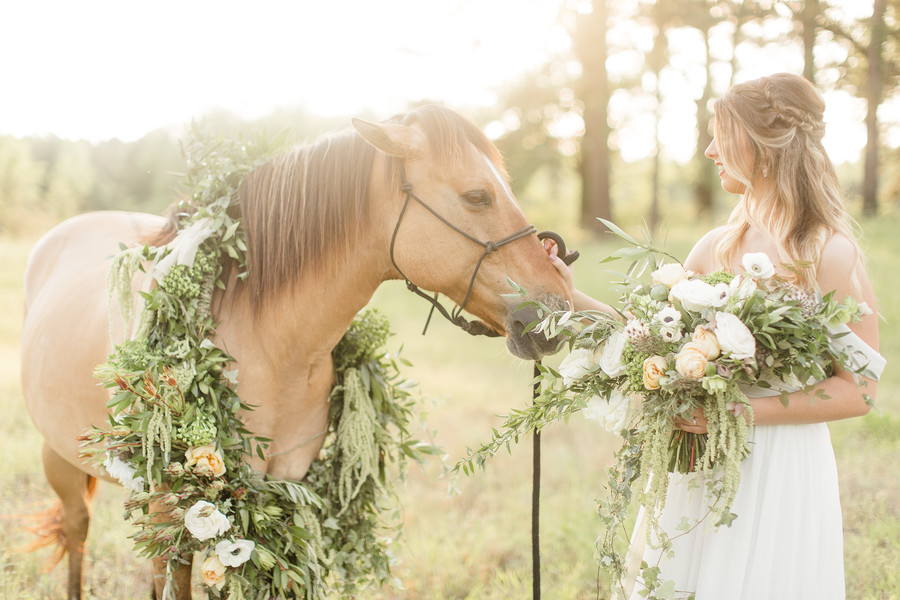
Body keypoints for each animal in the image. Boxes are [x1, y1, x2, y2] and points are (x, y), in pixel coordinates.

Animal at [21, 105, 572, 596]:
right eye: (477, 196)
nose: (557, 310)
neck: (271, 345)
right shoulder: (173, 505)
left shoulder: (280, 493)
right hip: (61, 461)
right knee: (78, 533)